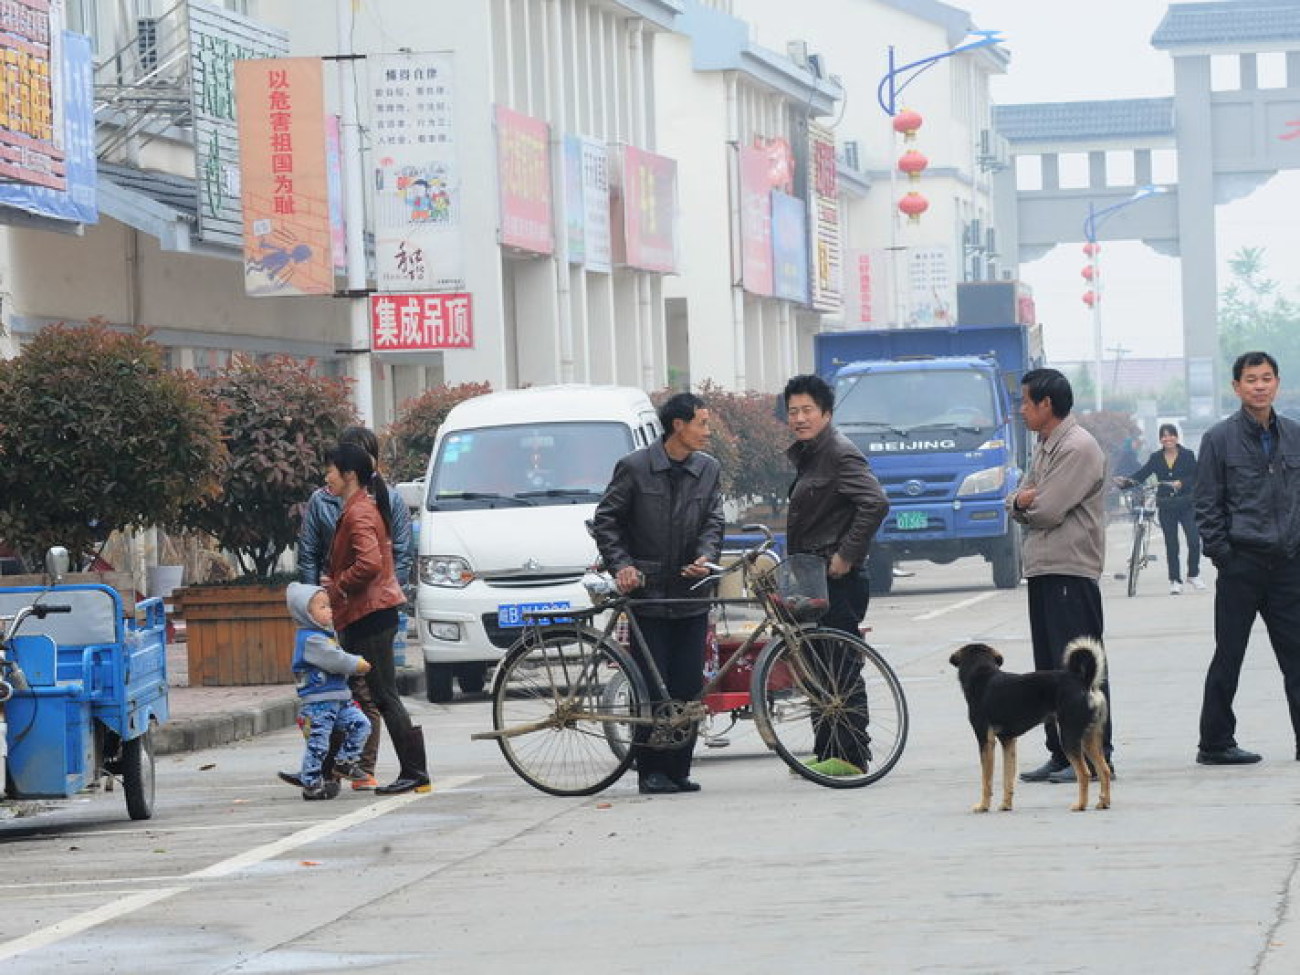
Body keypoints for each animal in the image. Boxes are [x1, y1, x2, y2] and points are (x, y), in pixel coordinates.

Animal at [951, 642, 1112, 816]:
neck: (982, 676)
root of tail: (1085, 683)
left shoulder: (985, 741)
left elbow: (986, 780)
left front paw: (983, 806)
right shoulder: (1008, 741)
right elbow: (1008, 777)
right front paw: (1006, 805)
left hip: (1069, 736)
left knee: (1084, 773)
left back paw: (1080, 805)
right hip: (1090, 737)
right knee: (1104, 770)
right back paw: (1103, 802)